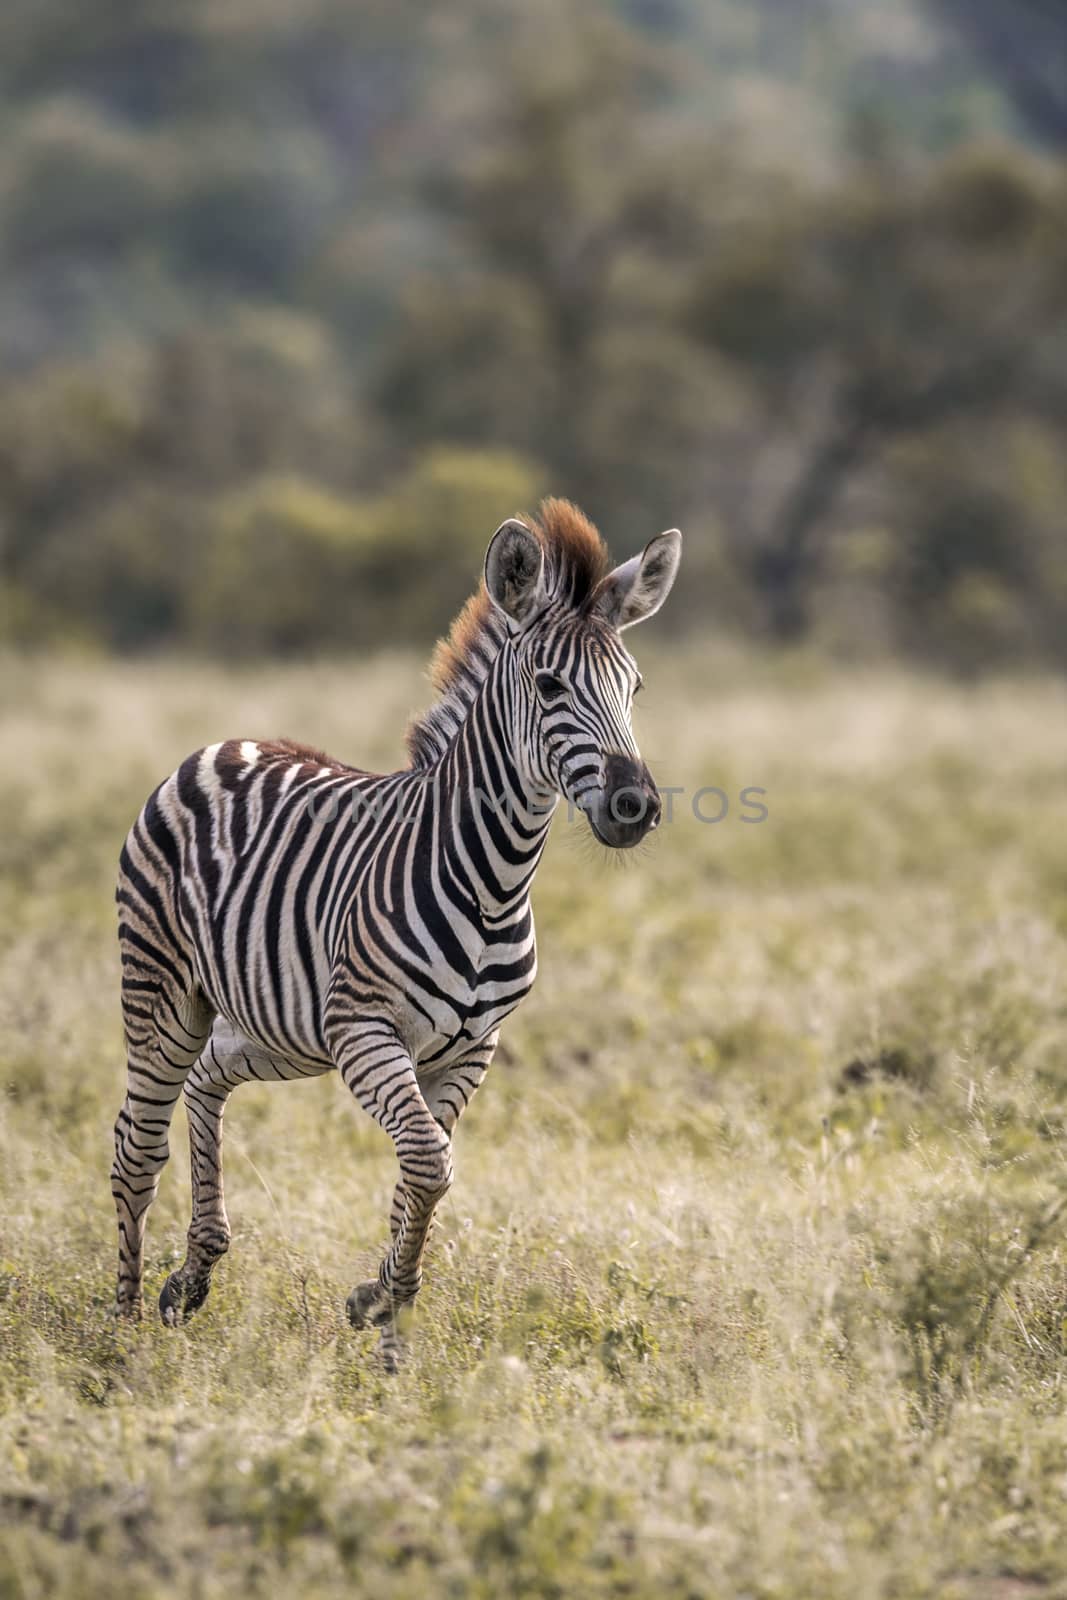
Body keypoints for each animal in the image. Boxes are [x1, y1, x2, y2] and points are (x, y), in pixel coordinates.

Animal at [112, 499, 681, 1363]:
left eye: (635, 687)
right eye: (549, 684)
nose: (635, 807)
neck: (493, 882)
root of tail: (220, 744)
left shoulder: (468, 1049)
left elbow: (422, 1172)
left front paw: (384, 1316)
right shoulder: (368, 1031)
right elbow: (428, 1161)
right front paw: (387, 1310)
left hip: (284, 1028)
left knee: (209, 1077)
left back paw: (193, 1273)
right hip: (165, 995)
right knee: (135, 1146)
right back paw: (121, 1329)